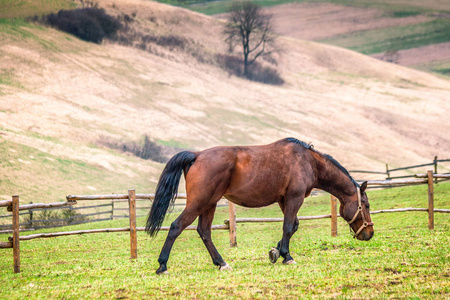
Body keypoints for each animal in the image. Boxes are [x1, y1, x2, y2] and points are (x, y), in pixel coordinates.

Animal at [145, 138, 372, 274]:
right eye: (366, 205)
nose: (369, 234)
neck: (309, 162)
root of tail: (197, 155)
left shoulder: (283, 199)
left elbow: (293, 226)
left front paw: (275, 252)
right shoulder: (294, 198)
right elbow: (288, 227)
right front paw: (286, 256)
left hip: (209, 203)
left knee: (204, 231)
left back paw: (221, 263)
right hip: (199, 202)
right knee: (176, 226)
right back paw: (162, 265)